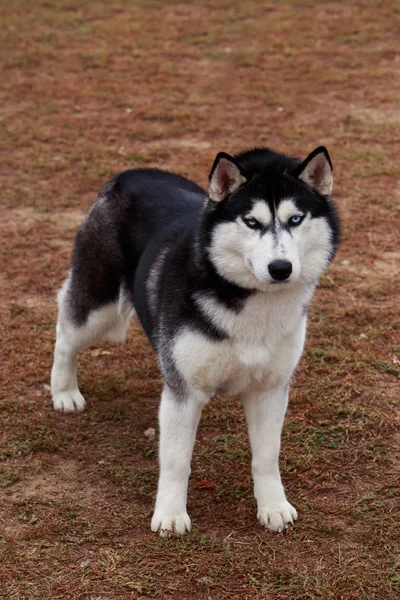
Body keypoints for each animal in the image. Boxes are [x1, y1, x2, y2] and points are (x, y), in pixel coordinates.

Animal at [50, 144, 340, 536]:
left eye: (296, 219)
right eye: (252, 222)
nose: (281, 269)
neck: (249, 301)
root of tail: (129, 174)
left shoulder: (270, 389)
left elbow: (266, 456)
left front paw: (273, 506)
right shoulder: (183, 391)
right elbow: (176, 461)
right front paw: (171, 514)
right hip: (99, 308)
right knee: (65, 333)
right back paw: (64, 391)